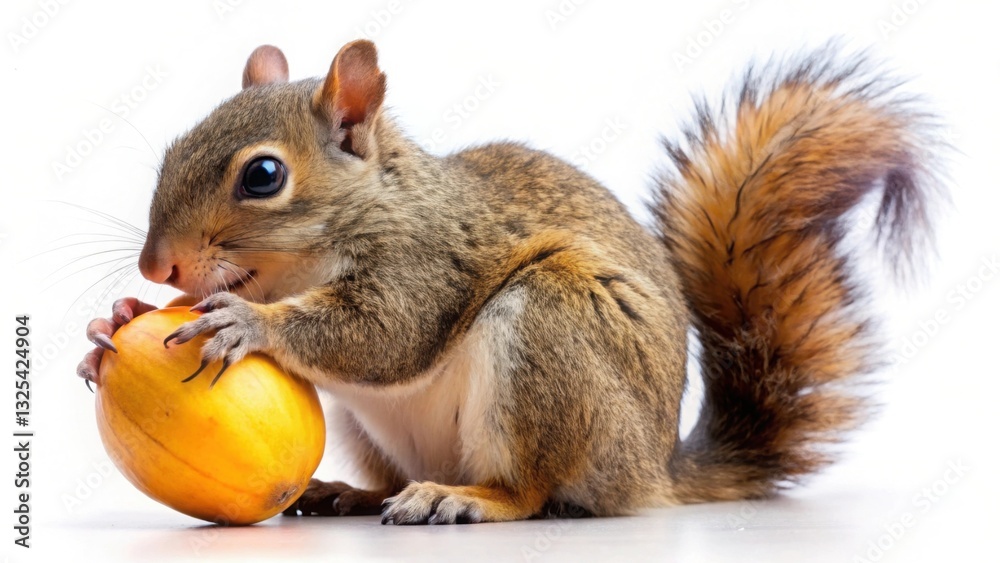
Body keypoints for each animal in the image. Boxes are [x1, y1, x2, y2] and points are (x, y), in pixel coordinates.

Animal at [76, 40, 943, 524]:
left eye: (262, 176)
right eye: (175, 147)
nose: (157, 265)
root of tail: (652, 470)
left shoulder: (425, 261)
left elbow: (380, 336)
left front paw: (245, 323)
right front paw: (115, 318)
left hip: (552, 329)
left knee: (532, 489)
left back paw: (465, 498)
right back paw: (350, 495)